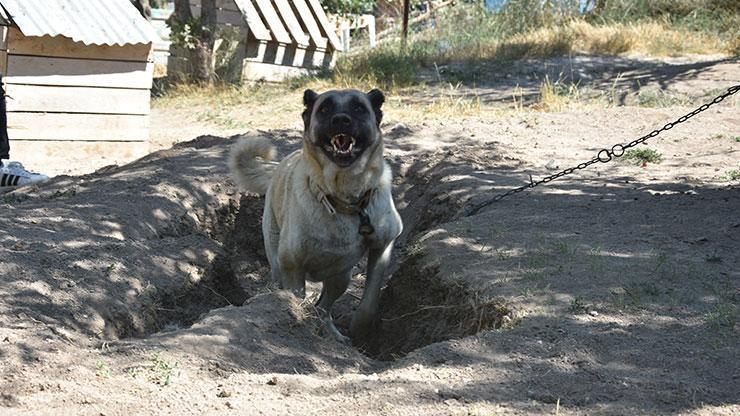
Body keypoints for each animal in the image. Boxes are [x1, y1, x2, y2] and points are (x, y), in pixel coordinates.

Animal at [231, 88, 404, 344]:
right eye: (324, 109)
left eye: (358, 108)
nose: (341, 119)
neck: (344, 199)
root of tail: (281, 163)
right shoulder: (292, 267)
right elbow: (296, 300)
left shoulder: (382, 247)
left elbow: (369, 303)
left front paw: (360, 332)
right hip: (278, 263)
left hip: (340, 277)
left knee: (324, 308)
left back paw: (331, 332)